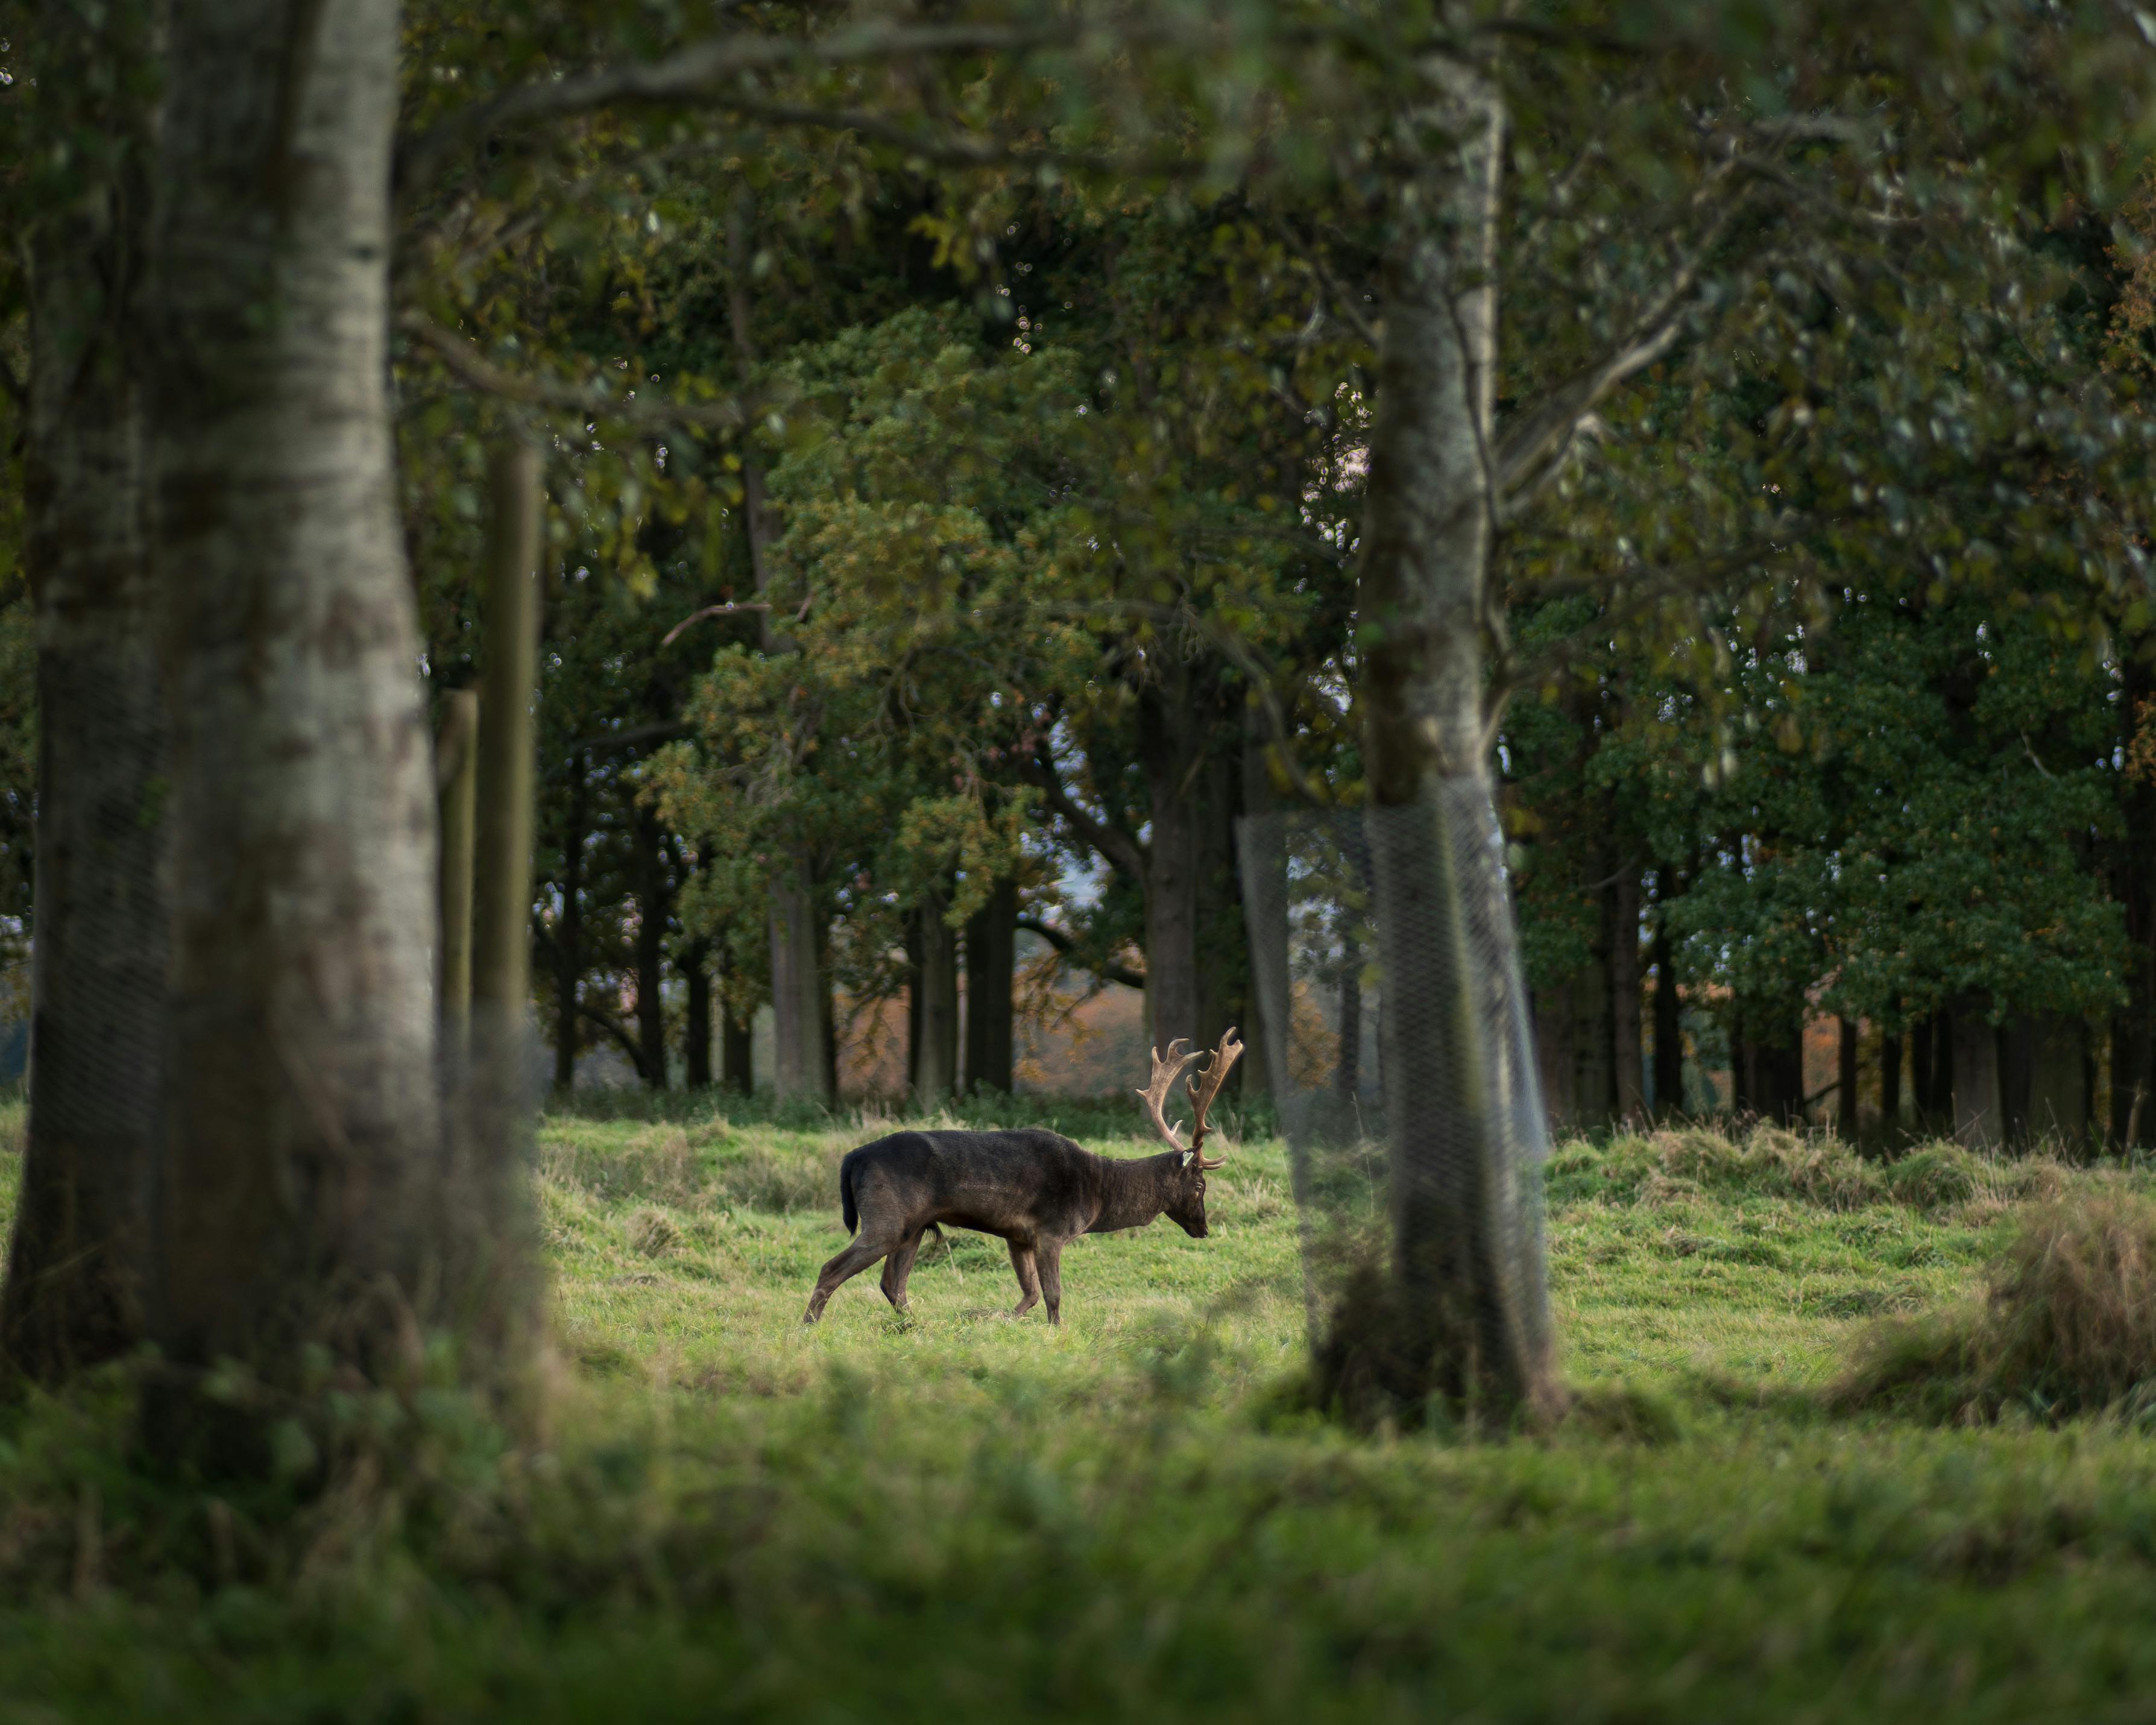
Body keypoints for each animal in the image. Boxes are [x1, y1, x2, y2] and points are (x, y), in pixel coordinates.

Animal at [802, 1029, 1244, 1326]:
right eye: (1200, 1186)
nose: (1204, 1229)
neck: (1099, 1193)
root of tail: (854, 1157)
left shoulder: (1018, 1236)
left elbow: (1029, 1293)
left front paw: (998, 1319)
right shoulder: (1052, 1230)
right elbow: (1053, 1294)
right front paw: (1057, 1333)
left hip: (913, 1226)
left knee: (893, 1283)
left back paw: (915, 1327)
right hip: (886, 1216)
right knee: (831, 1268)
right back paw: (808, 1326)